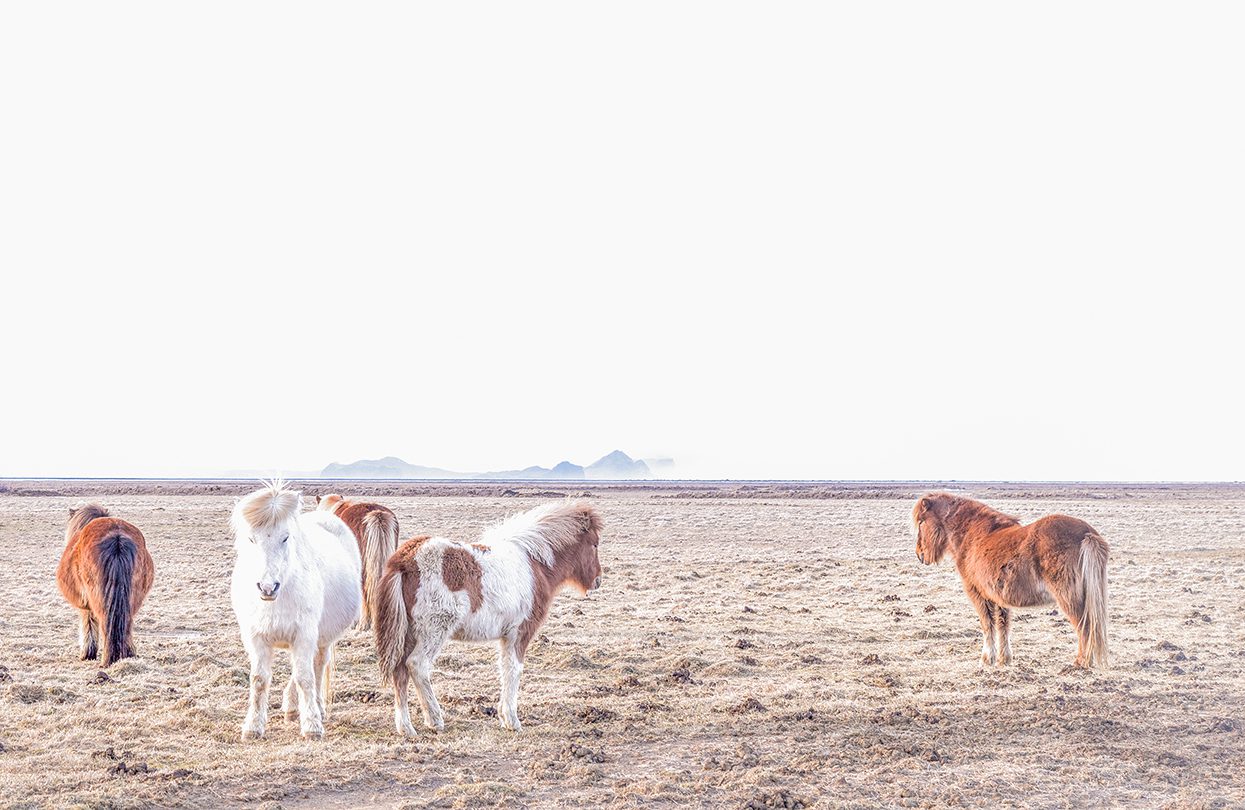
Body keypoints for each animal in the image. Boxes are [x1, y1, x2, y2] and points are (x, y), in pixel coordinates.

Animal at [56, 502, 155, 666]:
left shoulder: (85, 606)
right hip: (131, 600)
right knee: (126, 625)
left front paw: (87, 654)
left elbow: (88, 624)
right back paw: (128, 654)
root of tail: (116, 536)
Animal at [229, 482, 361, 741]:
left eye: (285, 537)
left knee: (317, 666)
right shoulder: (257, 637)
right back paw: (291, 708)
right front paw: (253, 726)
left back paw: (317, 709)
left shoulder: (304, 635)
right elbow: (259, 680)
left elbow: (305, 678)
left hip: (322, 638)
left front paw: (311, 726)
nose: (267, 587)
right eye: (251, 539)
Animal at [373, 500, 602, 736]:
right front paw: (512, 720)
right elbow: (514, 669)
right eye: (594, 544)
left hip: (407, 634)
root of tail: (404, 560)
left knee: (399, 670)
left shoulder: (506, 636)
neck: (535, 564)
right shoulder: (519, 633)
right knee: (417, 665)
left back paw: (405, 727)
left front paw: (503, 716)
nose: (597, 580)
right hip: (433, 631)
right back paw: (434, 719)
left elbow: (504, 668)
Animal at [916, 495, 1110, 671]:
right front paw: (1004, 659)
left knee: (1084, 627)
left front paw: (986, 659)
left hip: (1069, 599)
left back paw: (1081, 662)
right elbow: (1003, 625)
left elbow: (987, 625)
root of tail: (1087, 533)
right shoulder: (999, 597)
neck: (972, 534)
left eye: (921, 522)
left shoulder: (977, 594)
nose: (919, 555)